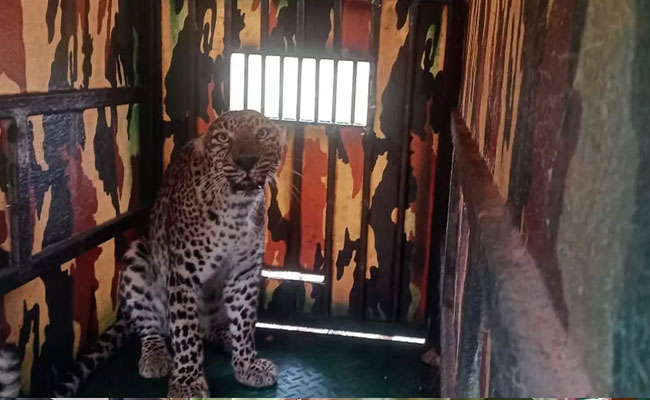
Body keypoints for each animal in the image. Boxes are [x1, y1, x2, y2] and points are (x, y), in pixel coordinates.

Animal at [0, 110, 286, 398]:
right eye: (223, 138)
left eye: (262, 133)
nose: (246, 160)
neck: (238, 208)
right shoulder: (183, 275)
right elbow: (185, 334)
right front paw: (187, 382)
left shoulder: (244, 275)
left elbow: (244, 324)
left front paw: (247, 364)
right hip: (136, 262)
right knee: (152, 329)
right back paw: (156, 357)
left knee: (209, 330)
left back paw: (225, 337)